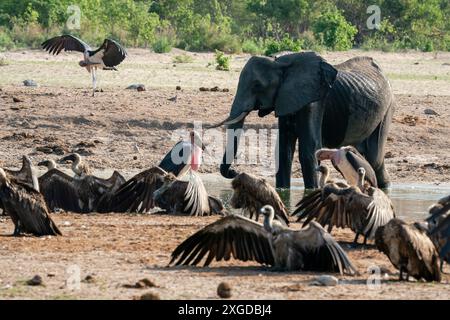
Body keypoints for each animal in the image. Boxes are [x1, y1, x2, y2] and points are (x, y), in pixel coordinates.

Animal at [214, 51, 394, 189]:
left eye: (257, 85)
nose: (234, 172)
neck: (280, 62)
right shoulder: (285, 98)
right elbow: (284, 150)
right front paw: (283, 191)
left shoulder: (313, 101)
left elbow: (309, 148)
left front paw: (312, 190)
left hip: (388, 107)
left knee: (375, 157)